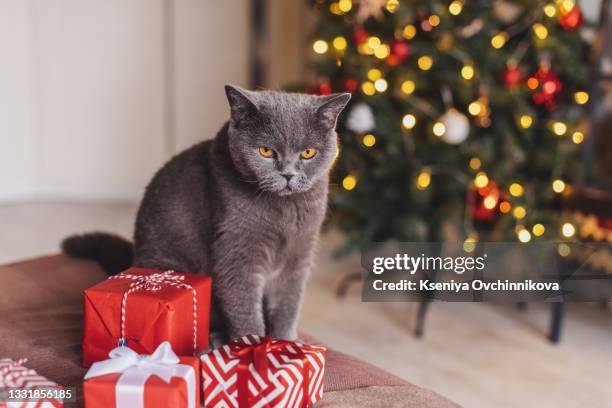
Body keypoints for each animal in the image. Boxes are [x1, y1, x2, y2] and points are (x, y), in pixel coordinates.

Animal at [62, 85, 352, 344]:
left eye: (308, 152)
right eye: (266, 151)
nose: (288, 174)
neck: (284, 213)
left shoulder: (299, 254)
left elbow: (288, 307)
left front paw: (285, 344)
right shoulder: (237, 251)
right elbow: (245, 309)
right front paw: (256, 352)